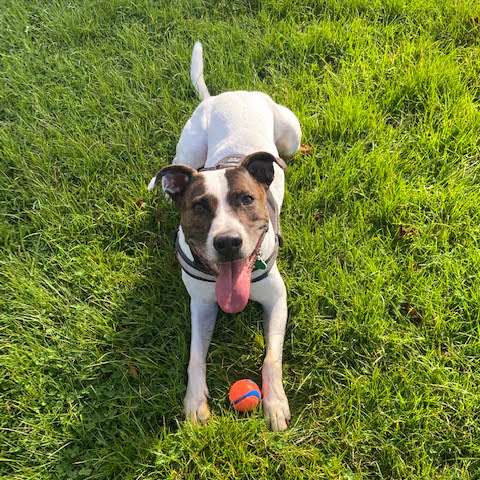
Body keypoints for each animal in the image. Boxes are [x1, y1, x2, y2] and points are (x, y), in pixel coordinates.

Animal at [148, 42, 301, 431]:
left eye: (246, 199)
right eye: (199, 207)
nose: (228, 243)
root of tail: (226, 95)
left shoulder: (277, 299)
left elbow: (271, 358)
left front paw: (274, 403)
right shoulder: (201, 305)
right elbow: (194, 357)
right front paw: (194, 403)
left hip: (292, 135)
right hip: (185, 152)